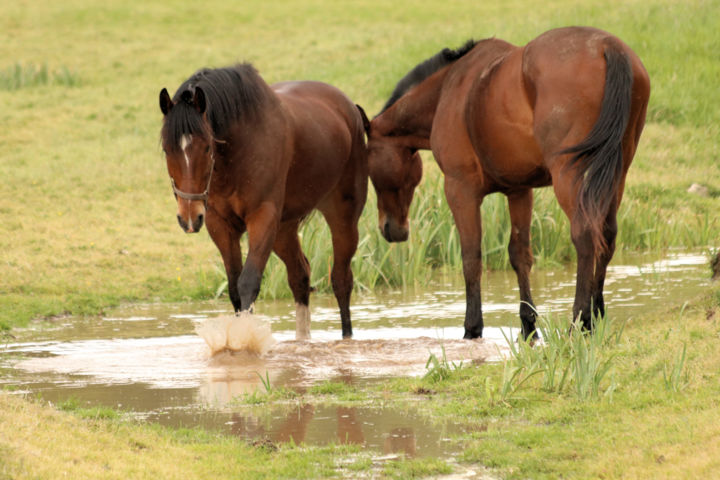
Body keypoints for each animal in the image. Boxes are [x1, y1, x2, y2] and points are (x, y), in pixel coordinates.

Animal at [160, 63, 368, 340]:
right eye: (166, 149)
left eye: (206, 147)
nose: (190, 217)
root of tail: (349, 109)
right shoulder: (220, 225)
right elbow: (234, 288)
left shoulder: (262, 217)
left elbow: (248, 282)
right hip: (283, 230)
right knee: (300, 277)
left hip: (343, 217)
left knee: (341, 280)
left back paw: (347, 337)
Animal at [368, 27, 648, 342]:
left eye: (368, 167)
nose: (391, 229)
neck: (448, 88)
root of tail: (607, 46)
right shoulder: (519, 191)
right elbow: (520, 255)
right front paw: (528, 325)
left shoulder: (460, 190)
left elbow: (471, 257)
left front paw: (472, 327)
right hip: (616, 172)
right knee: (607, 235)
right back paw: (597, 313)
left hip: (568, 174)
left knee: (586, 235)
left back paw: (580, 321)